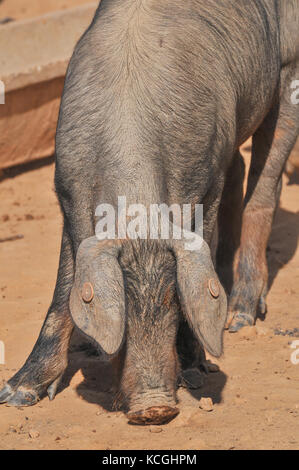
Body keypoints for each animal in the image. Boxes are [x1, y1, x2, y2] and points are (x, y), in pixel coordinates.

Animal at [0, 0, 299, 424]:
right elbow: (63, 286)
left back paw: (240, 316)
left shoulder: (204, 186)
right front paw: (16, 394)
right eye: (122, 307)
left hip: (288, 68)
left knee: (265, 186)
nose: (155, 408)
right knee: (239, 168)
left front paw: (195, 371)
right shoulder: (68, 190)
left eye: (174, 302)